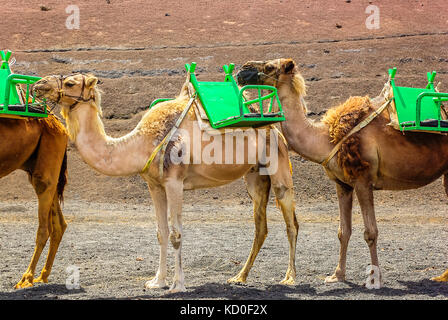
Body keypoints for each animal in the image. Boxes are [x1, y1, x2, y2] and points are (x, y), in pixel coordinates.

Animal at [0, 114, 68, 288]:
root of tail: (61, 127)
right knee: (59, 224)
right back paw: (43, 276)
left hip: (46, 164)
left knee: (45, 228)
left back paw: (26, 278)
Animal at [32, 72, 300, 292]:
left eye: (70, 83)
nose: (38, 85)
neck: (142, 142)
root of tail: (275, 127)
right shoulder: (155, 185)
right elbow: (161, 232)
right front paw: (156, 281)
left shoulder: (174, 181)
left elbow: (176, 233)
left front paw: (177, 285)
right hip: (254, 176)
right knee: (260, 226)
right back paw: (240, 277)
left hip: (278, 162)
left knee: (291, 222)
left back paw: (289, 277)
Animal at [238, 58, 448, 288]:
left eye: (269, 67)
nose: (242, 70)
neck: (325, 139)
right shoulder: (343, 184)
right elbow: (343, 231)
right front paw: (337, 275)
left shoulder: (363, 180)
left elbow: (370, 232)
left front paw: (374, 279)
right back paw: (442, 276)